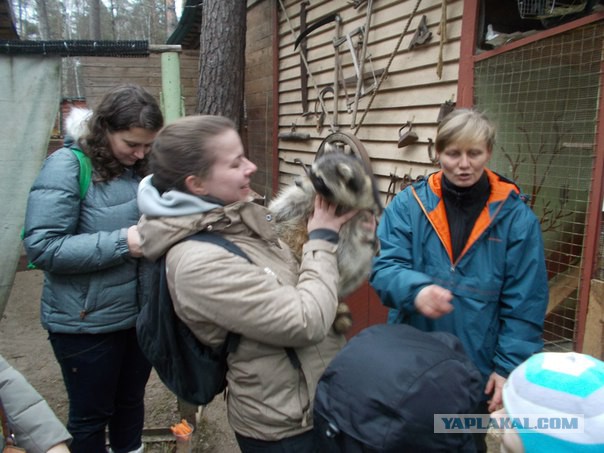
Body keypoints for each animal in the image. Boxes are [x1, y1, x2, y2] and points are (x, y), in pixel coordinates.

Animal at [268, 154, 382, 334]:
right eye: (311, 171)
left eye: (319, 179)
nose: (296, 181)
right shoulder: (309, 197)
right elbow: (289, 204)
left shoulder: (360, 216)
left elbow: (350, 253)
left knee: (359, 265)